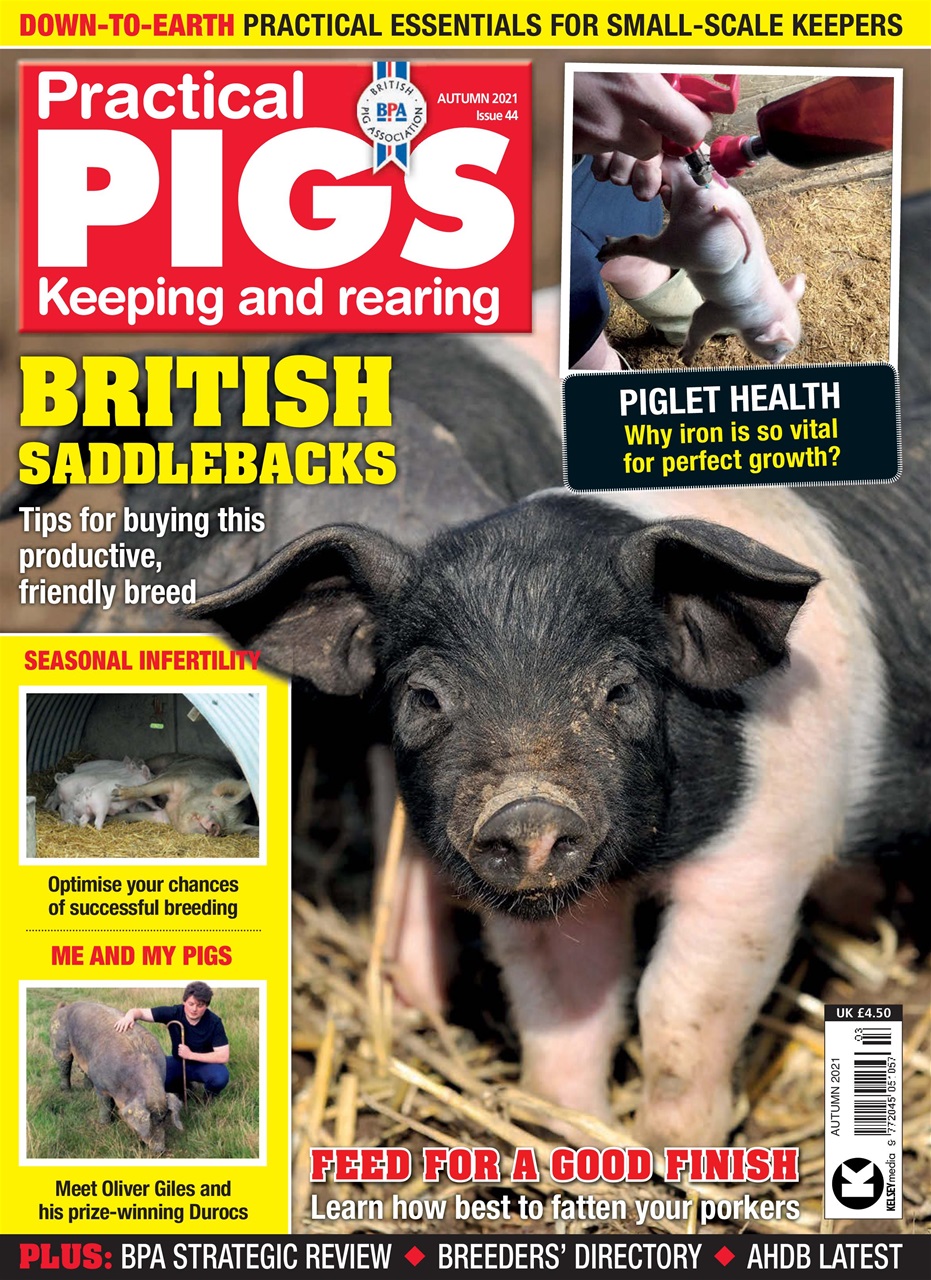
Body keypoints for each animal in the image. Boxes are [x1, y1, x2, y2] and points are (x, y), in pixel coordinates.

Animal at [50, 1001, 183, 1154]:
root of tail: (64, 1007)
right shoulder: (101, 1086)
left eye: (163, 1118)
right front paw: (105, 1124)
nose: (160, 1150)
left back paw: (87, 1088)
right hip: (59, 1042)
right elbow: (105, 1104)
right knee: (64, 1066)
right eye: (148, 1120)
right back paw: (66, 1090)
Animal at [113, 755, 255, 836]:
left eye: (225, 830)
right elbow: (149, 789)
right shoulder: (175, 780)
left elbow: (137, 816)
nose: (216, 827)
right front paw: (115, 794)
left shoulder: (162, 816)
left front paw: (112, 819)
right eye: (212, 806)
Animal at [597, 155, 806, 366]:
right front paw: (686, 359)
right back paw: (603, 253)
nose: (778, 361)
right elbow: (700, 322)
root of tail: (719, 207)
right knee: (641, 242)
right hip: (684, 242)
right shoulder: (724, 312)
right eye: (777, 348)